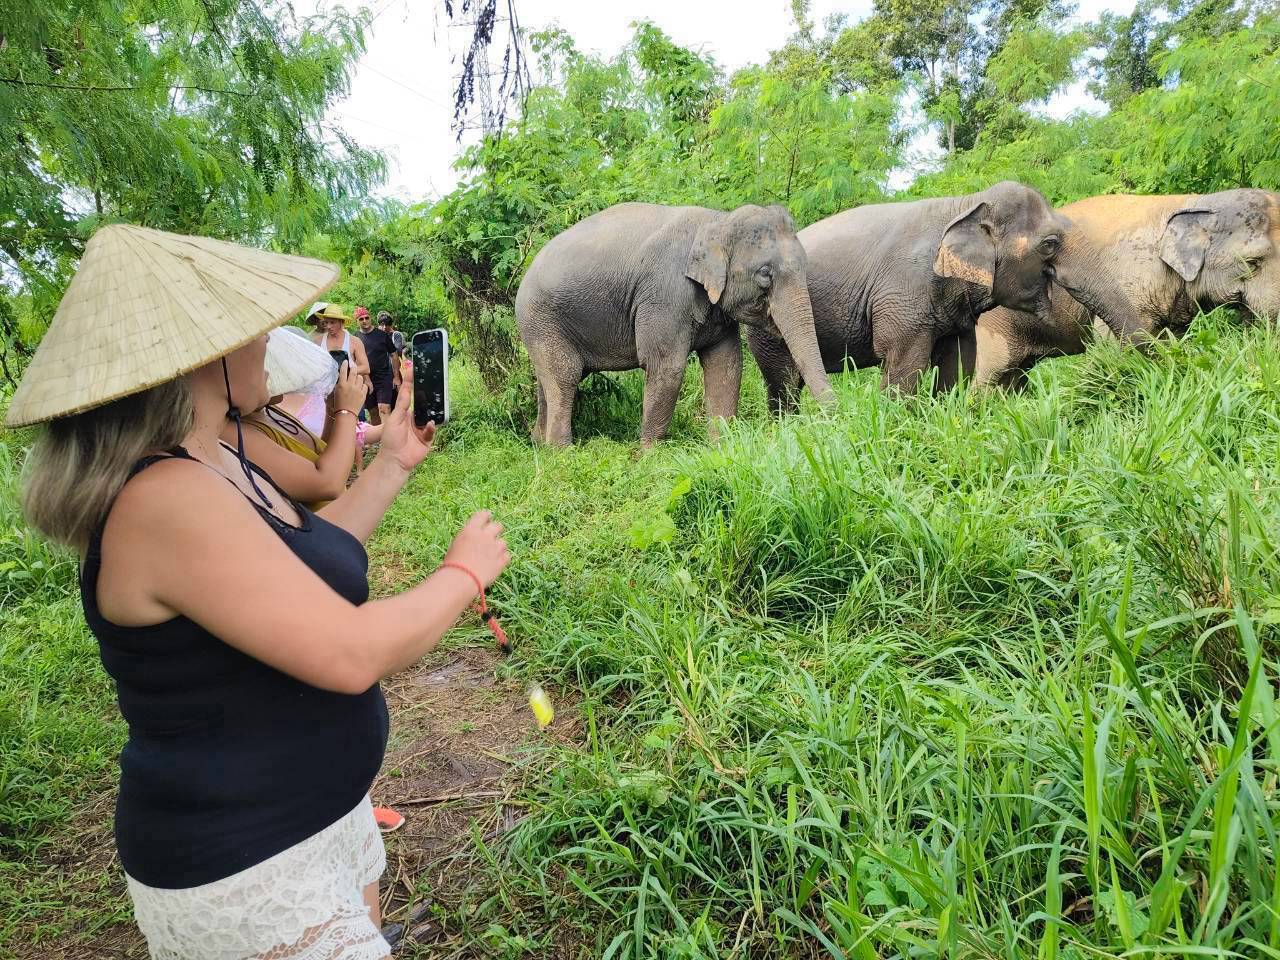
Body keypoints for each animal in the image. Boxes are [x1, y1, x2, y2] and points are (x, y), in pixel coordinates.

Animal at [515, 202, 834, 445]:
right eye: (765, 275)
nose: (833, 416)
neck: (718, 220)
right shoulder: (665, 296)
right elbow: (666, 366)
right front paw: (649, 457)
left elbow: (726, 365)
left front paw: (721, 449)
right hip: (542, 321)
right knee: (565, 377)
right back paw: (562, 453)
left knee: (549, 381)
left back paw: (539, 445)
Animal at [744, 181, 1146, 411]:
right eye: (1049, 243)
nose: (1154, 370)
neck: (965, 203)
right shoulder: (901, 299)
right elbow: (903, 367)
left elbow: (957, 364)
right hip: (766, 329)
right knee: (783, 385)